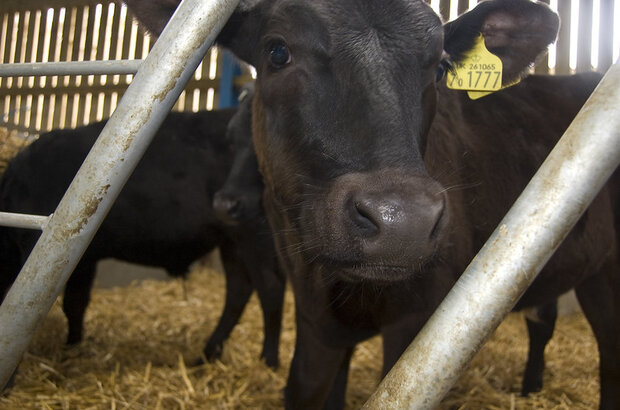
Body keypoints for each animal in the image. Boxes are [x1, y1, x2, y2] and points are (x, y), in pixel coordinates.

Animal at [0, 105, 286, 368]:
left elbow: (48, 304)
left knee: (270, 288)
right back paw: (207, 354)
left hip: (254, 233)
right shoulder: (86, 259)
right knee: (239, 289)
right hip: (231, 240)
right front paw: (73, 346)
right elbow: (76, 304)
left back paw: (268, 361)